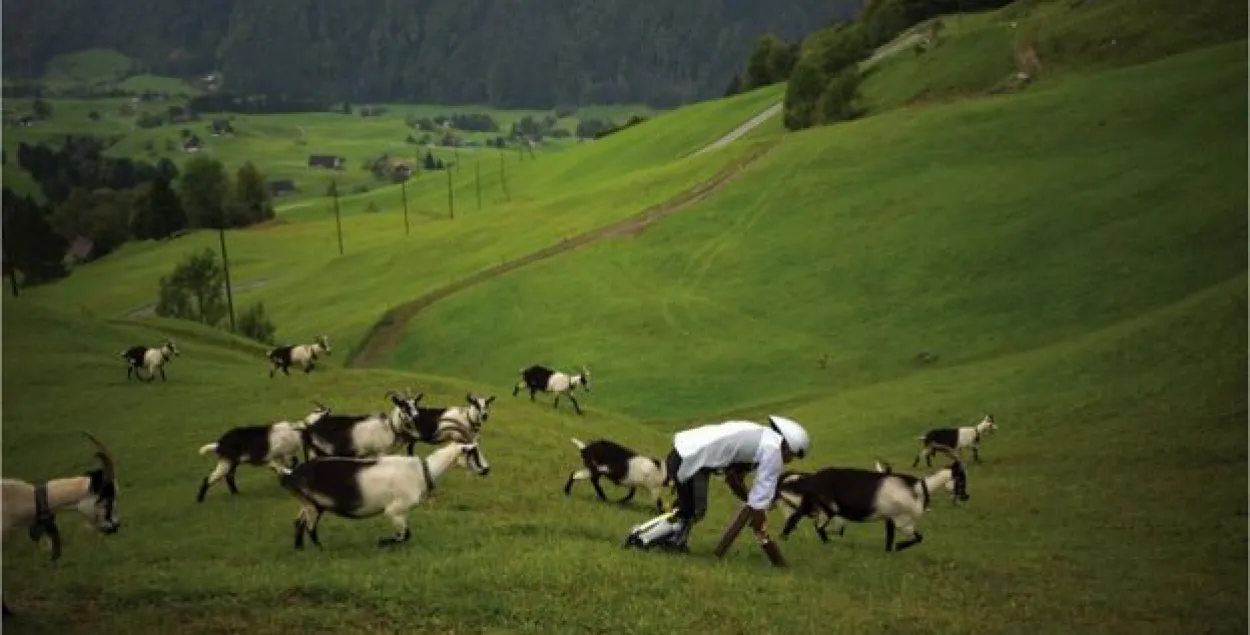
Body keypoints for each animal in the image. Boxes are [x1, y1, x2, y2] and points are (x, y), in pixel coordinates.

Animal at [195, 405, 332, 502]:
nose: (330, 409)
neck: (300, 430)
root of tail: (219, 444)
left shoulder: (280, 456)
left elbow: (288, 464)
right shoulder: (278, 455)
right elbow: (287, 464)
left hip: (231, 462)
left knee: (228, 477)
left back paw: (236, 494)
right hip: (227, 462)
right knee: (210, 478)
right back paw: (200, 500)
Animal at [281, 440, 490, 547]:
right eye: (473, 453)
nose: (487, 469)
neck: (424, 472)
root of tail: (291, 475)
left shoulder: (402, 512)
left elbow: (406, 533)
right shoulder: (394, 510)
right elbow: (405, 535)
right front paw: (384, 541)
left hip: (307, 503)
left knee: (298, 523)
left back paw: (299, 549)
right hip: (313, 505)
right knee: (310, 527)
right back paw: (321, 549)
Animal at [770, 457, 965, 550]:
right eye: (961, 478)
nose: (966, 496)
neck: (918, 489)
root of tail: (810, 479)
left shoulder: (890, 519)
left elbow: (892, 538)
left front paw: (891, 550)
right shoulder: (902, 521)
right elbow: (917, 538)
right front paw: (899, 547)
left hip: (815, 505)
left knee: (803, 521)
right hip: (828, 508)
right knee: (815, 525)